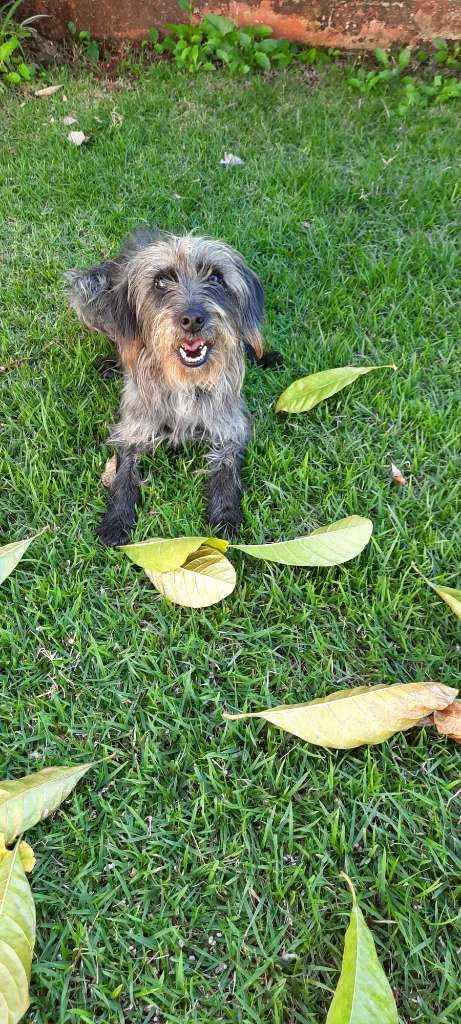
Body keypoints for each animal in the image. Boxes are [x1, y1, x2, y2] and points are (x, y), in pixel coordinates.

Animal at [66, 231, 278, 548]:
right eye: (161, 282)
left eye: (216, 278)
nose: (192, 319)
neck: (185, 381)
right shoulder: (133, 427)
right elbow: (124, 475)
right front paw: (117, 520)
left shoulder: (230, 426)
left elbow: (226, 469)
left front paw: (226, 514)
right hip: (89, 288)